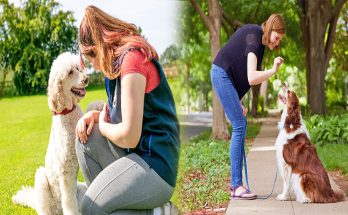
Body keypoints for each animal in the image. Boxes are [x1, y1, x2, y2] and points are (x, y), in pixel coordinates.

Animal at [12, 52, 88, 215]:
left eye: (78, 68)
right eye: (70, 72)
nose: (86, 79)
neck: (68, 112)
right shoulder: (66, 169)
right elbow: (69, 201)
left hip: (81, 189)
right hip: (41, 178)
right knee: (45, 208)